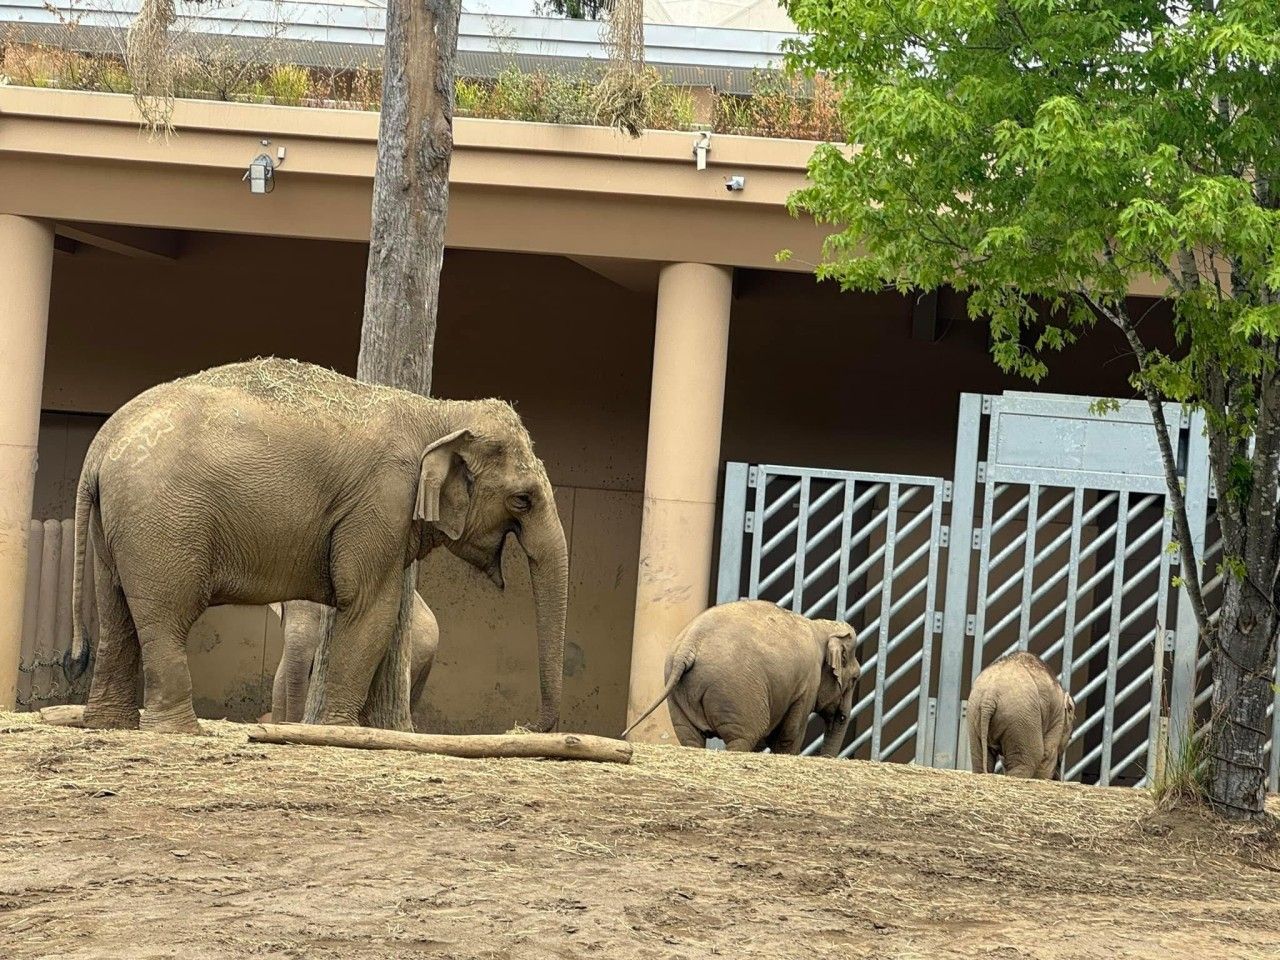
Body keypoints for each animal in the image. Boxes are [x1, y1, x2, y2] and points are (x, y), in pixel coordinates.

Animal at [619, 601, 860, 757]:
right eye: (856, 678)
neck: (820, 627)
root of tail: (689, 645)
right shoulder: (808, 682)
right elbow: (789, 734)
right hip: (736, 691)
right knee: (744, 737)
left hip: (678, 693)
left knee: (690, 739)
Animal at [967, 655, 1070, 783]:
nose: (1058, 778)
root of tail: (989, 696)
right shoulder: (1057, 716)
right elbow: (1047, 753)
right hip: (1020, 716)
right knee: (1030, 757)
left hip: (975, 713)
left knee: (980, 759)